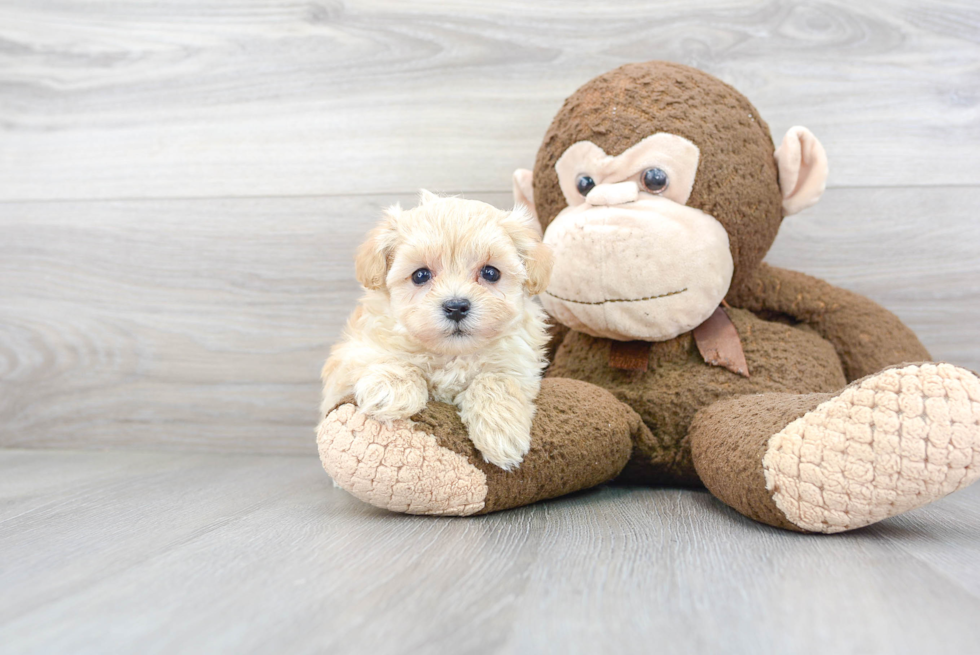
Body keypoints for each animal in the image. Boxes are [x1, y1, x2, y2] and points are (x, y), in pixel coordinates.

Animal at [320, 190, 552, 472]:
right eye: (420, 275)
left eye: (490, 273)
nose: (456, 307)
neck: (451, 354)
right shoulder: (349, 356)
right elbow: (384, 357)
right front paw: (391, 390)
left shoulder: (518, 362)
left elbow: (496, 380)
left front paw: (501, 432)